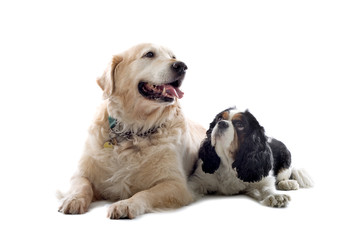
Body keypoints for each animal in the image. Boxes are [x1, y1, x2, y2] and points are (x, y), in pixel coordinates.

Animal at [59, 43, 205, 219]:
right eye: (149, 54)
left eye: (173, 56)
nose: (182, 66)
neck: (133, 129)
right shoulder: (81, 173)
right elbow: (82, 185)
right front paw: (73, 200)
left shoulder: (175, 184)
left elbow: (145, 193)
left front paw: (125, 205)